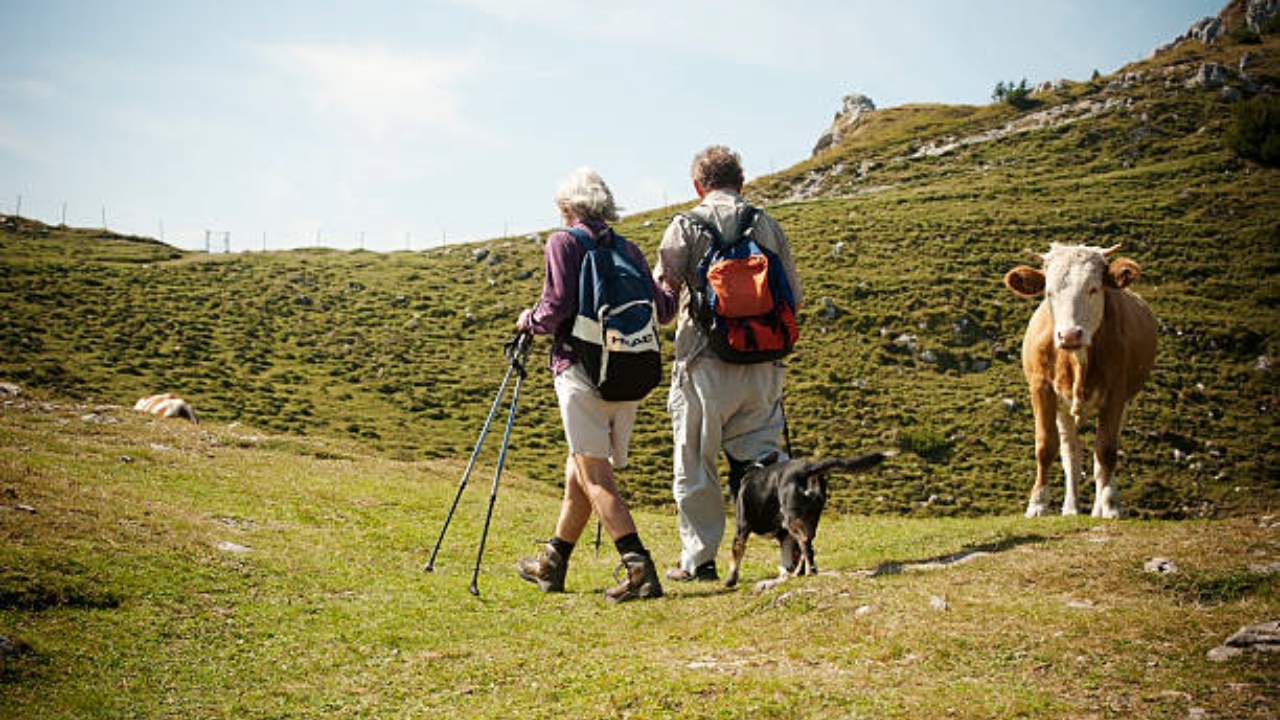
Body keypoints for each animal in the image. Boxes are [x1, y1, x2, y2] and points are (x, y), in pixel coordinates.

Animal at [727, 448, 896, 589]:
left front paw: (730, 581)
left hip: (791, 520)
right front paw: (785, 575)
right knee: (807, 545)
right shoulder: (784, 535)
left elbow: (736, 555)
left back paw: (808, 572)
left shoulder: (741, 529)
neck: (753, 469)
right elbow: (786, 559)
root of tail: (806, 469)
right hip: (810, 519)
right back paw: (802, 572)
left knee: (804, 542)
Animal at [1003, 240, 1157, 515]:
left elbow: (1106, 451)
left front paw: (1110, 506)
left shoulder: (1116, 394)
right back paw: (1071, 509)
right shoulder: (1041, 389)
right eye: (1049, 293)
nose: (1069, 335)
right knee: (1071, 454)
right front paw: (1037, 504)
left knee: (1102, 456)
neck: (1076, 360)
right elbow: (1046, 446)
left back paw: (1098, 509)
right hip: (1063, 410)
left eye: (1093, 289)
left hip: (1122, 403)